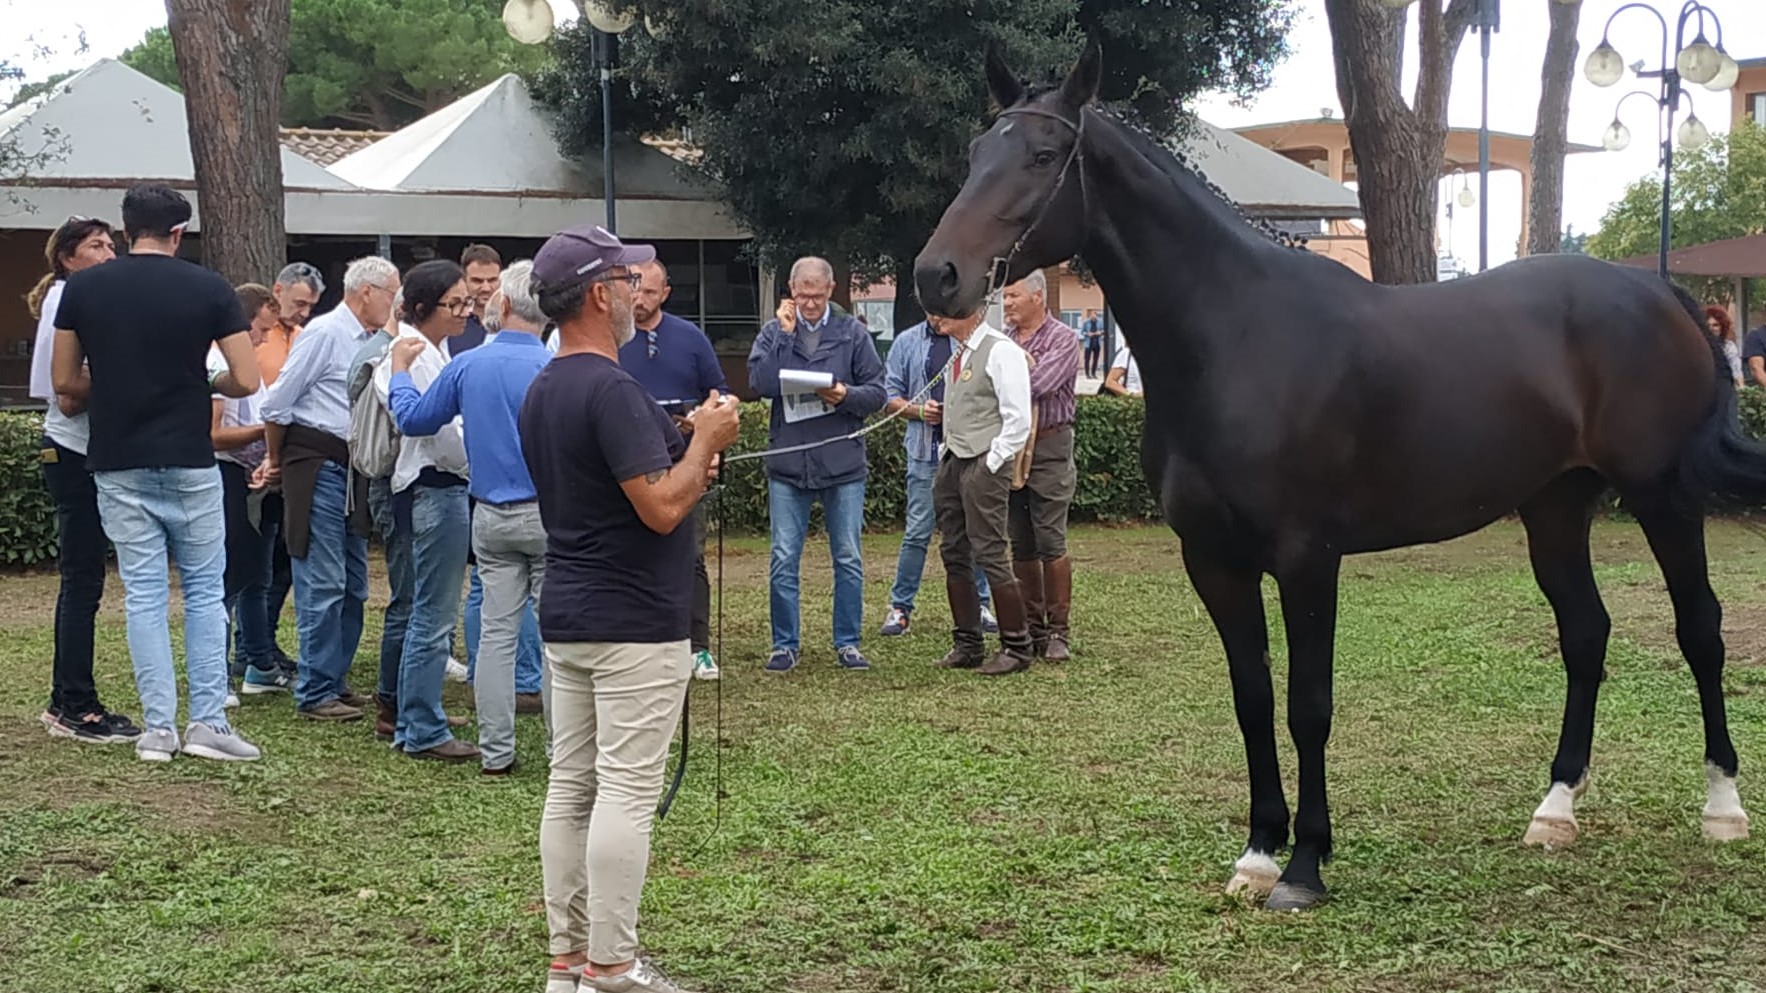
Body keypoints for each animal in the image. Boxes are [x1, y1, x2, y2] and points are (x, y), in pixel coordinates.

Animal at [912, 39, 1757, 912]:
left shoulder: (1307, 559)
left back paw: (1722, 806)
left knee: (1700, 629)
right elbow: (1252, 700)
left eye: (1043, 156)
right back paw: (1554, 810)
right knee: (1586, 632)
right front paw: (1258, 850)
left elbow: (1307, 704)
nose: (937, 274)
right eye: (977, 153)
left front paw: (1305, 864)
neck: (1237, 335)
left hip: (1663, 498)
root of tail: (1661, 290)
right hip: (1554, 507)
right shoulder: (1213, 560)